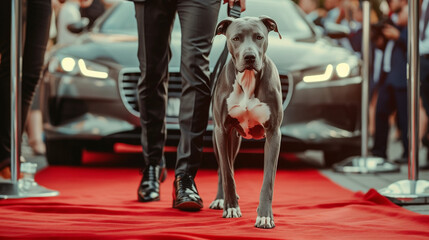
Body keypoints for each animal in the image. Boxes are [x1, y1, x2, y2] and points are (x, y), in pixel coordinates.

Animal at [209, 15, 282, 230]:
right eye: (235, 38)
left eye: (259, 36)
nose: (249, 56)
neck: (248, 80)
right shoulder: (222, 131)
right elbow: (227, 173)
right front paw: (231, 207)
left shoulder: (274, 133)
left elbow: (268, 180)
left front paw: (265, 216)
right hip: (222, 138)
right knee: (224, 168)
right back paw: (221, 199)